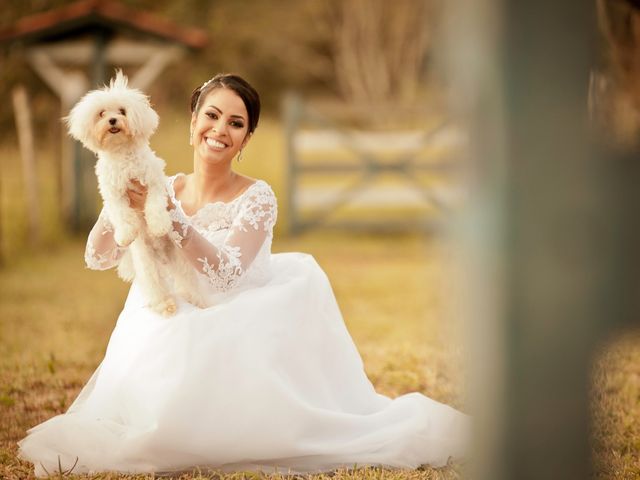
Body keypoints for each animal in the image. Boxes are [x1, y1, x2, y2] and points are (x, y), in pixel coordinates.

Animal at [65, 70, 205, 316]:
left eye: (122, 111)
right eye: (102, 113)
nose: (112, 120)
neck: (122, 153)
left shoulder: (154, 184)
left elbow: (155, 206)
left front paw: (158, 225)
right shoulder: (112, 194)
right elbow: (120, 213)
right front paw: (125, 234)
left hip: (179, 259)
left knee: (188, 283)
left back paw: (199, 302)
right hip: (146, 264)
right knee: (155, 286)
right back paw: (165, 304)